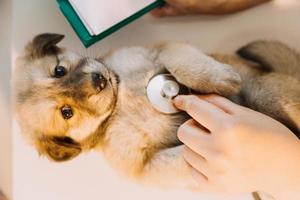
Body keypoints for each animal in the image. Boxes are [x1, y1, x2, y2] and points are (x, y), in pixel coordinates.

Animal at [12, 33, 300, 190]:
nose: (99, 80)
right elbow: (184, 156)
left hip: (270, 95)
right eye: (66, 112)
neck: (120, 101)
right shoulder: (144, 167)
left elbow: (183, 62)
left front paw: (219, 77)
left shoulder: (160, 50)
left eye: (59, 70)